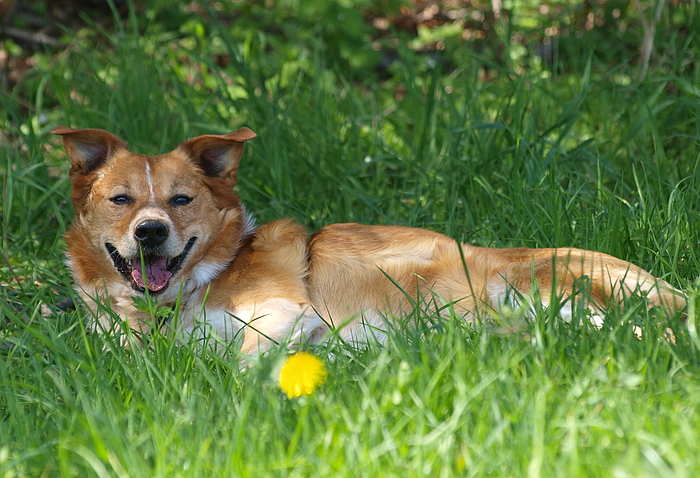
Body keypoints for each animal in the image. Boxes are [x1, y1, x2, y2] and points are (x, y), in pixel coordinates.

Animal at [52, 125, 688, 352]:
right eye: (121, 200)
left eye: (181, 200)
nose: (151, 232)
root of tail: (674, 292)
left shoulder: (283, 312)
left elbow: (248, 360)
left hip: (535, 288)